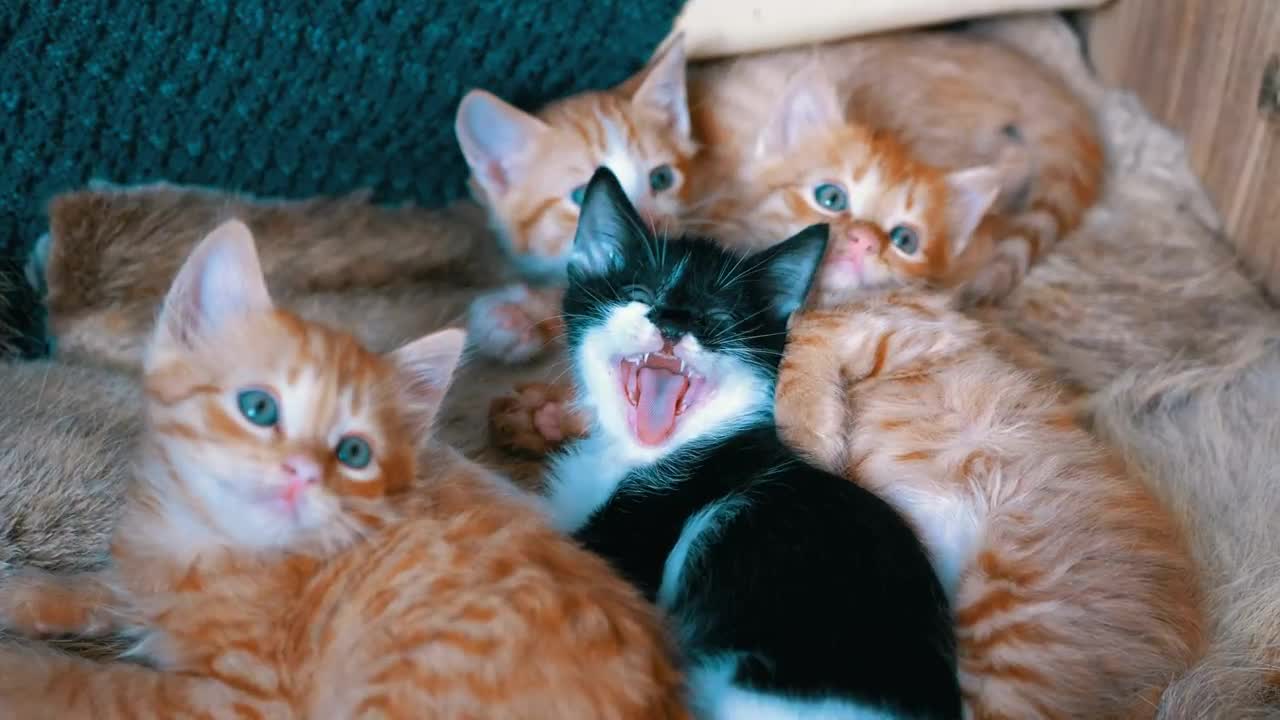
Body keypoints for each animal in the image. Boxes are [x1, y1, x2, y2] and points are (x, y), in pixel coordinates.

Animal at [0, 221, 691, 712]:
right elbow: (107, 586)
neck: (205, 544)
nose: (302, 474)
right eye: (258, 407)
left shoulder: (244, 700)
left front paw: (21, 675)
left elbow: (88, 685)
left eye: (354, 452)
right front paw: (28, 592)